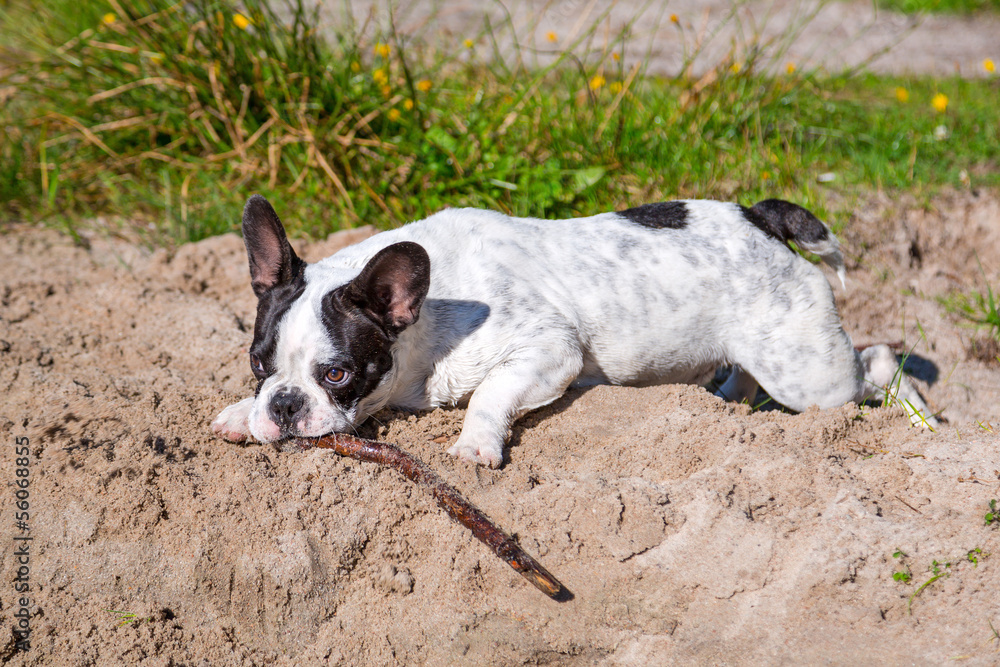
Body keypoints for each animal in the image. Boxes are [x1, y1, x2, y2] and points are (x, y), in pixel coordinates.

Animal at [213, 194, 936, 464]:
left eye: (337, 373)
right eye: (258, 365)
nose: (285, 405)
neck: (429, 314)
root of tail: (760, 216)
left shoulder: (547, 351)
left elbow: (488, 394)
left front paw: (476, 443)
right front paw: (242, 412)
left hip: (809, 376)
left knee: (876, 363)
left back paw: (921, 419)